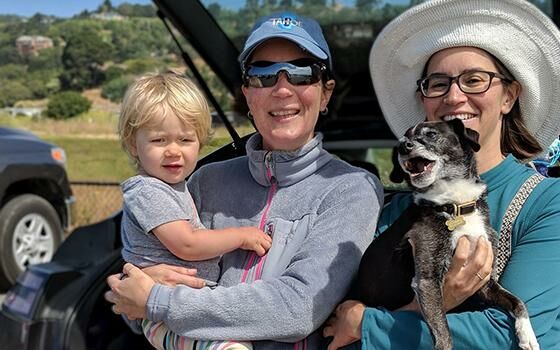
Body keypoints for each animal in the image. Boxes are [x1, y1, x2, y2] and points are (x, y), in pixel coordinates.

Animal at [352, 119, 540, 350]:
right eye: (403, 139)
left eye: (431, 134)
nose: (404, 146)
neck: (455, 205)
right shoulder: (427, 280)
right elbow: (443, 331)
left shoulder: (484, 283)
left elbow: (517, 301)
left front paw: (528, 335)